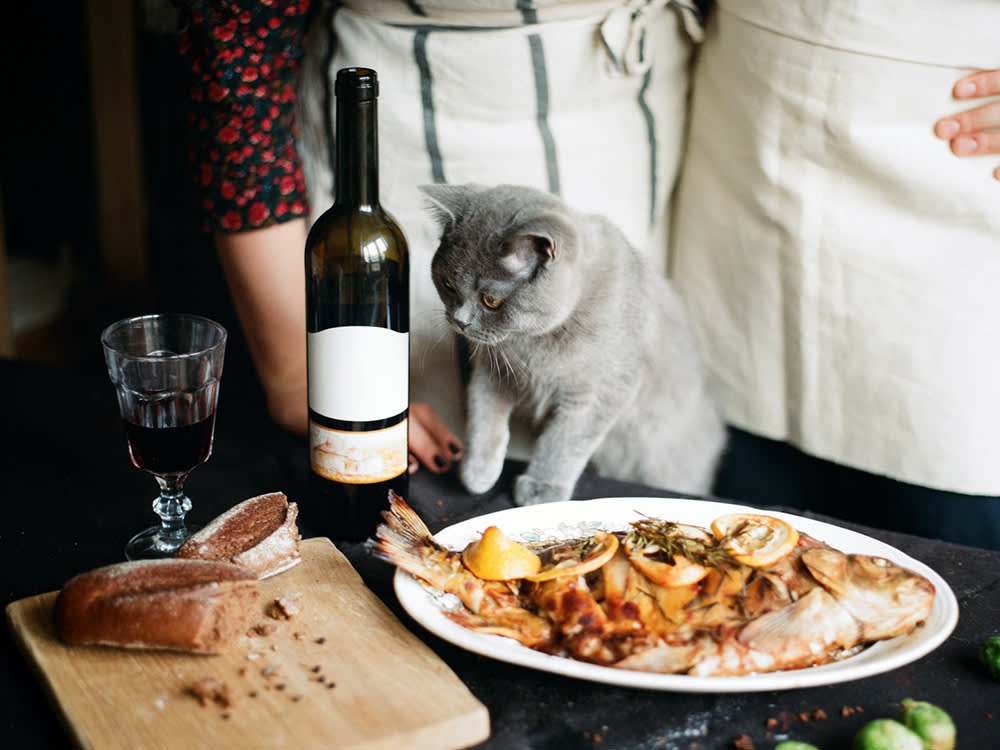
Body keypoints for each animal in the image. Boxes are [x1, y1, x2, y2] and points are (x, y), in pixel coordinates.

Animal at [422, 184, 728, 508]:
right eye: (448, 285)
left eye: (490, 300)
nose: (460, 321)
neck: (534, 344)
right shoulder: (494, 370)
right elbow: (484, 418)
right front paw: (478, 473)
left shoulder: (597, 393)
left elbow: (563, 443)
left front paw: (541, 489)